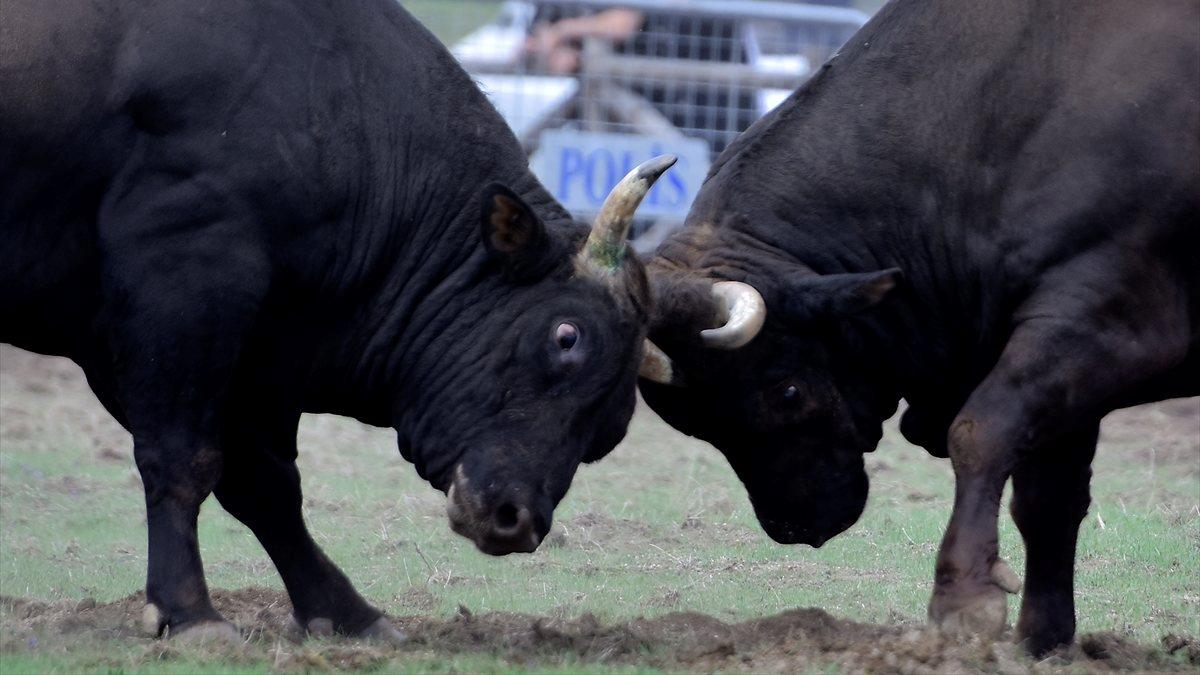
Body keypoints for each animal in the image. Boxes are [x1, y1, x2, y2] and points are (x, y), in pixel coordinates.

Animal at [0, 0, 676, 638]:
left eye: (608, 431)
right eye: (567, 336)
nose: (518, 519)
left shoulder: (251, 357)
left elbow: (264, 486)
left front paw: (345, 612)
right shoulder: (179, 285)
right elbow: (183, 455)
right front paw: (190, 613)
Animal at [638, 0, 1200, 658]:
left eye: (788, 392)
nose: (794, 524)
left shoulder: (1103, 322)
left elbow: (981, 432)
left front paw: (964, 598)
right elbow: (1048, 500)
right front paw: (1044, 638)